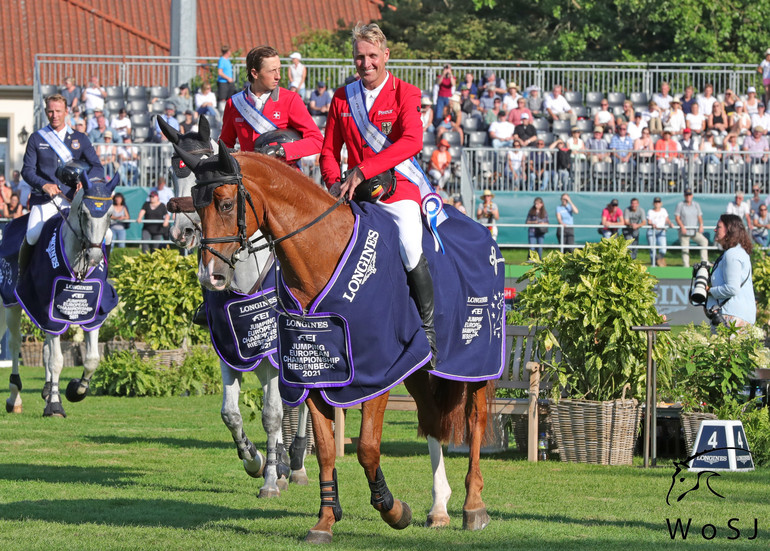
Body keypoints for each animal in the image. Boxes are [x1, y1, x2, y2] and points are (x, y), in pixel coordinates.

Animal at [173, 141, 488, 544]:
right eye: (197, 204)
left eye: (226, 204)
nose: (210, 276)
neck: (319, 254)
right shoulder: (310, 371)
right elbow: (323, 450)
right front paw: (324, 520)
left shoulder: (378, 372)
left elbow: (367, 448)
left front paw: (393, 510)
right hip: (419, 371)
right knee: (432, 421)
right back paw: (439, 508)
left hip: (474, 365)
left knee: (476, 420)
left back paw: (473, 505)